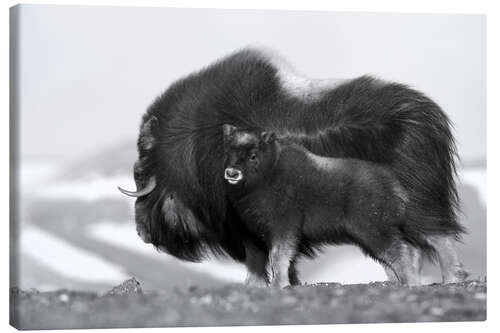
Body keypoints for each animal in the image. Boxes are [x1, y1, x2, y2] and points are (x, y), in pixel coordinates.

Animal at [221, 124, 466, 286]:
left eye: (253, 155)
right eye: (229, 152)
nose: (231, 173)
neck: (270, 172)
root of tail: (393, 183)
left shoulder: (283, 228)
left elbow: (278, 257)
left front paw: (279, 286)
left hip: (375, 229)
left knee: (410, 248)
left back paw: (420, 282)